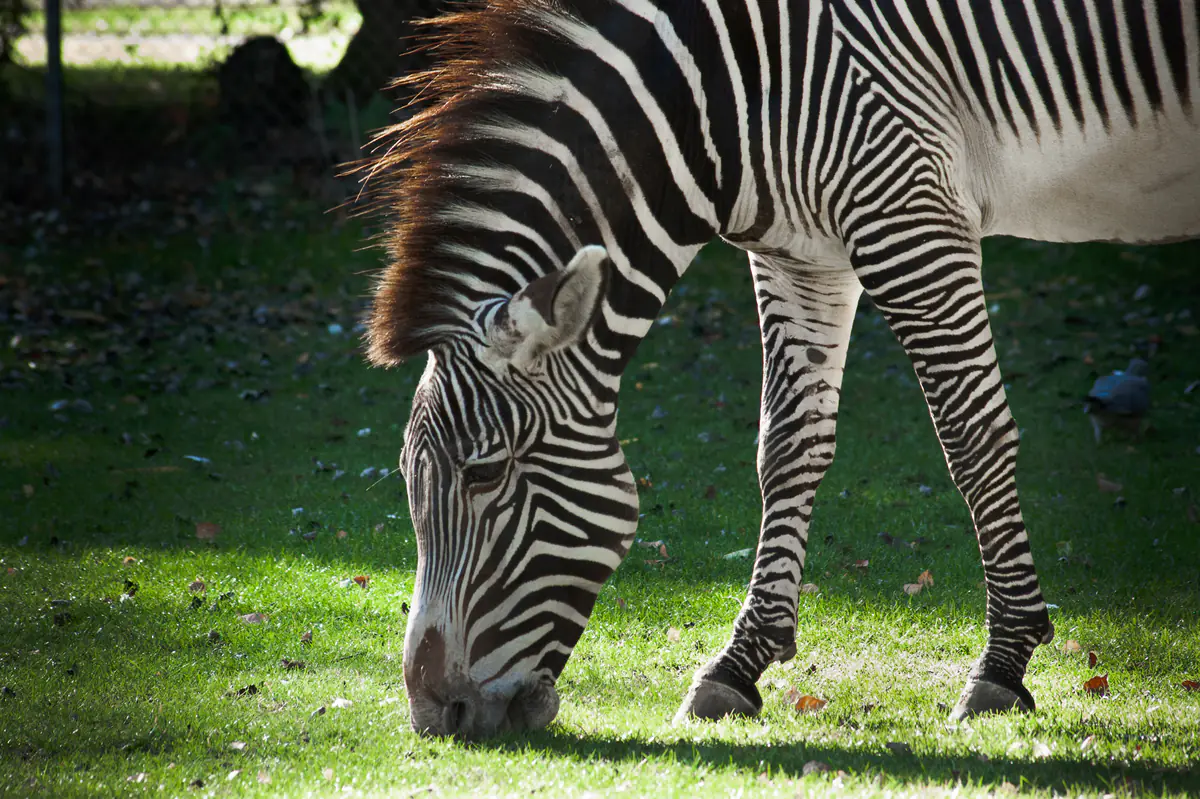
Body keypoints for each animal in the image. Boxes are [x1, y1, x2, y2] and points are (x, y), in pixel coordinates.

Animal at [363, 0, 1200, 738]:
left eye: (485, 472)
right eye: (405, 474)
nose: (435, 716)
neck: (732, 91)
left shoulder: (911, 211)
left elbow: (972, 439)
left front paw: (1002, 664)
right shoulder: (803, 251)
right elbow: (787, 448)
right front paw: (737, 665)